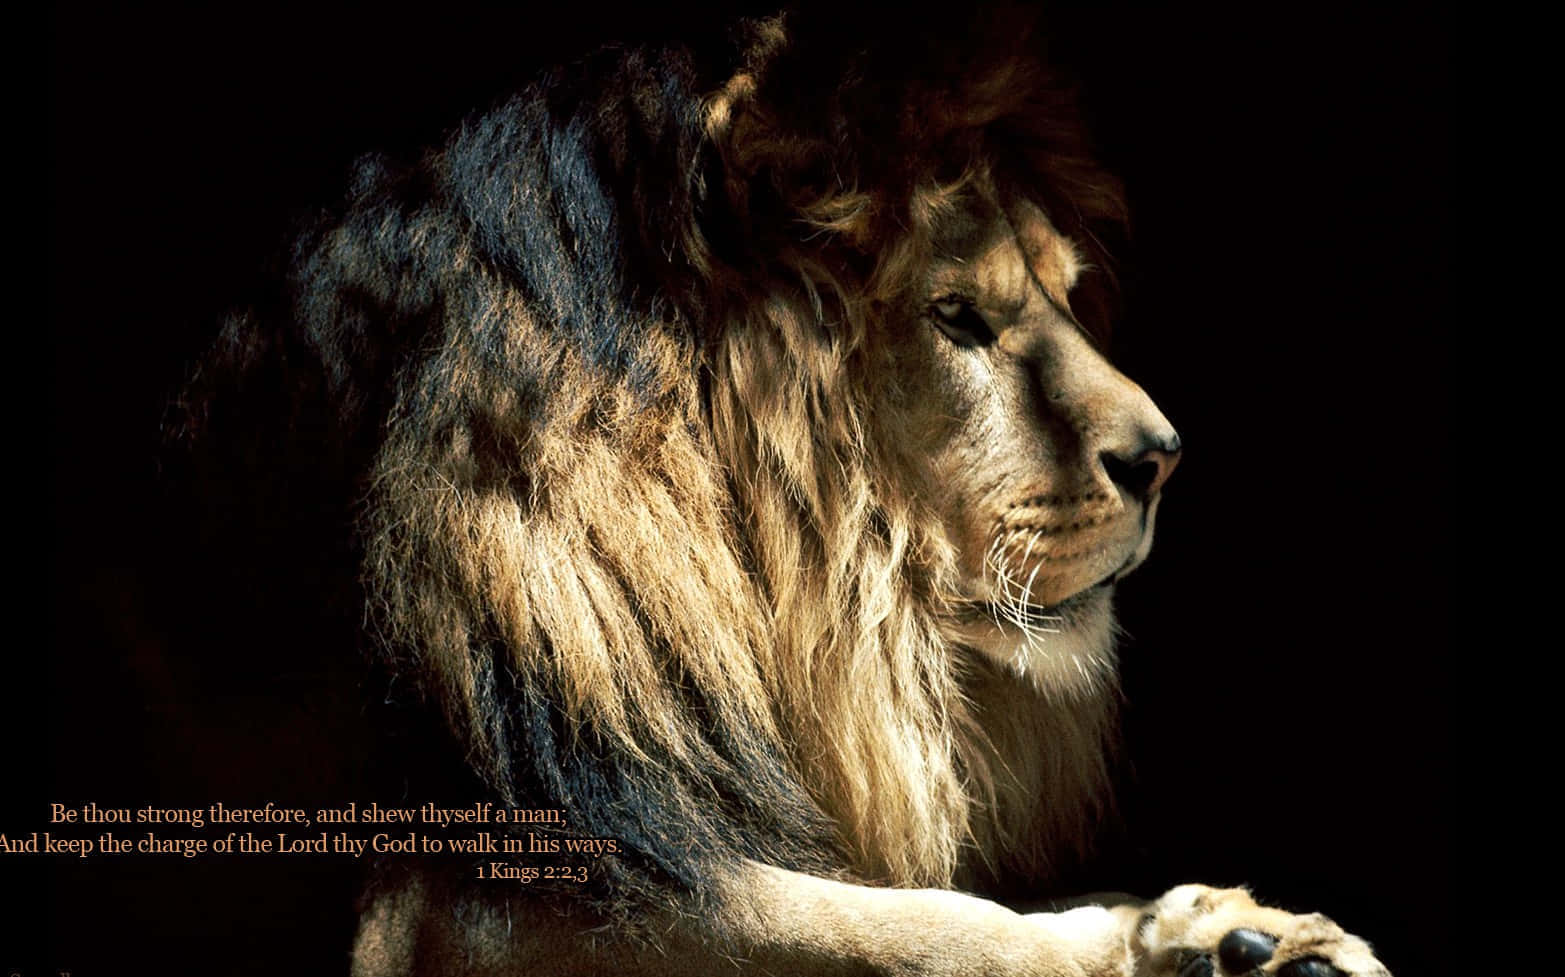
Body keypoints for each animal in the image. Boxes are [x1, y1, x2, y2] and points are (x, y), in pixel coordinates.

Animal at [177, 9, 1391, 977]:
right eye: (956, 316)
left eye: (1064, 291)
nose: (1161, 456)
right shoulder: (456, 888)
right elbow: (920, 924)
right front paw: (1156, 949)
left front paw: (1226, 934)